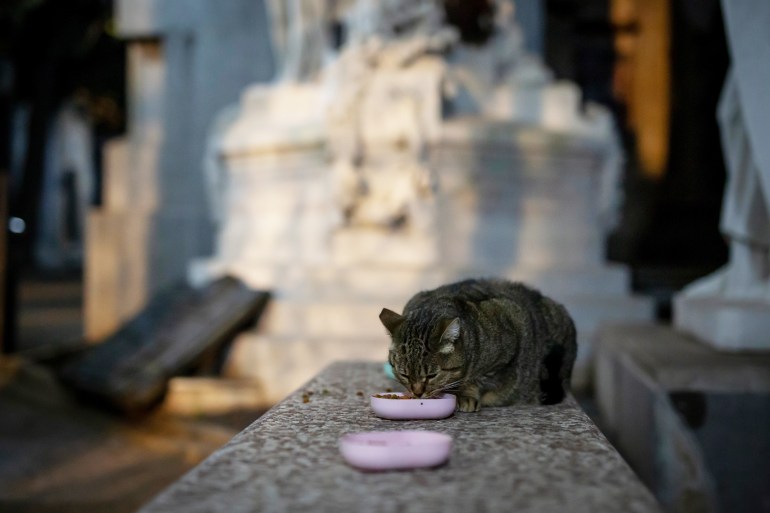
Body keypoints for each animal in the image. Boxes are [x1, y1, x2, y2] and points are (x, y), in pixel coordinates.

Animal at [378, 278, 576, 410]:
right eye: (404, 374)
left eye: (432, 375)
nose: (417, 393)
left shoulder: (506, 347)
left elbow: (480, 379)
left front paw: (465, 394)